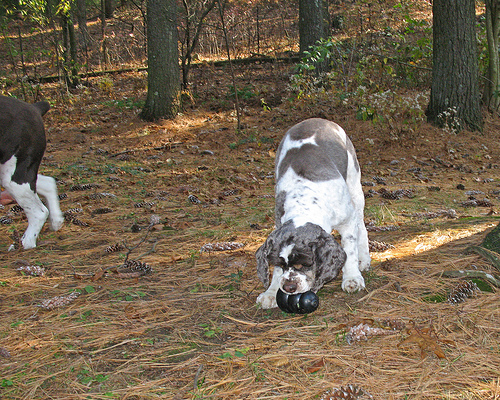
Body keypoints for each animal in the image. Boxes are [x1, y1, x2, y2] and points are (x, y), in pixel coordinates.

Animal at [0, 95, 63, 249]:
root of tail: (34, 108)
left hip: (15, 176)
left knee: (39, 212)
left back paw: (25, 243)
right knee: (48, 183)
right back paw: (56, 221)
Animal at [256, 118, 370, 309]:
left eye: (304, 264)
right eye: (280, 263)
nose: (289, 287)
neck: (304, 205)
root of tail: (318, 119)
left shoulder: (347, 220)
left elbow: (350, 249)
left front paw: (352, 278)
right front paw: (271, 293)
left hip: (355, 184)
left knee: (361, 226)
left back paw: (364, 259)